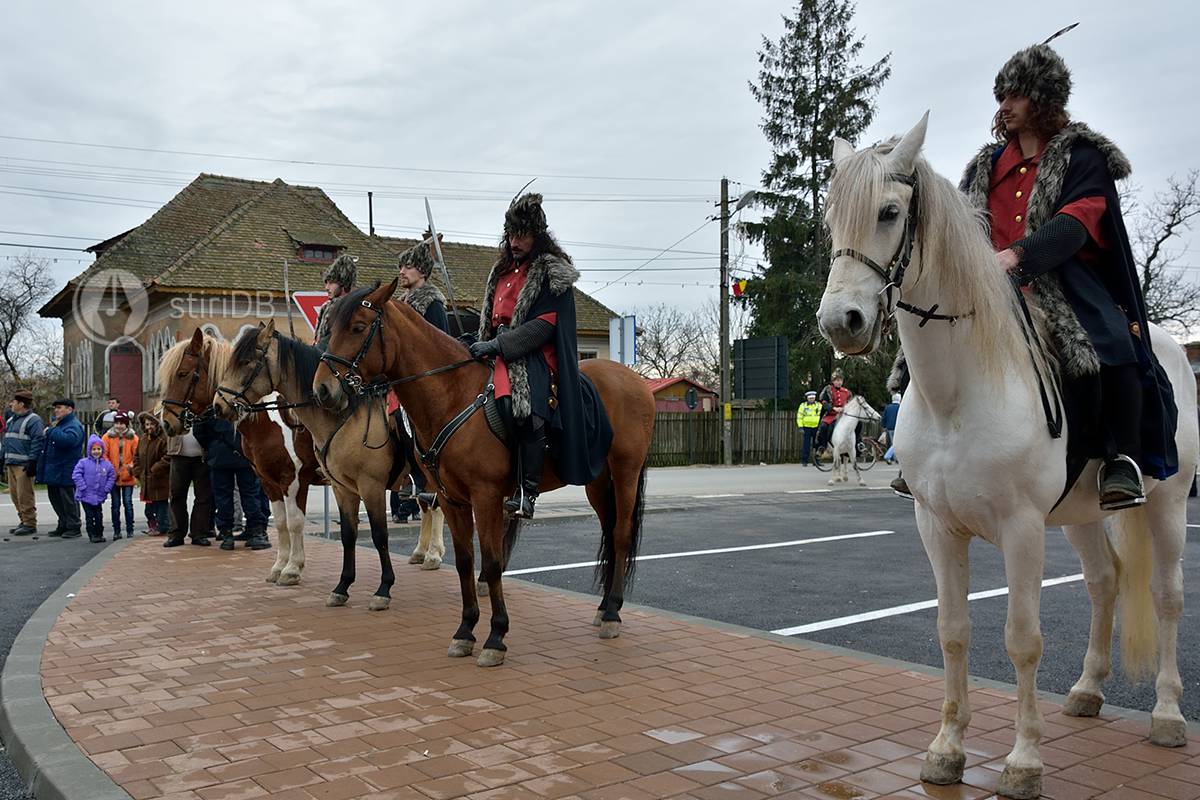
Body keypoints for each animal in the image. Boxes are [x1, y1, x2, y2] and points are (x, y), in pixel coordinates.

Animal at [157, 328, 321, 585]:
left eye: (182, 374)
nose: (166, 423)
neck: (270, 420)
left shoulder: (293, 481)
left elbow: (294, 522)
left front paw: (293, 569)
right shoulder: (269, 482)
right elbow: (281, 522)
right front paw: (279, 567)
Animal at [211, 319, 446, 614]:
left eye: (246, 362)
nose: (218, 405)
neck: (346, 416)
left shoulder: (356, 485)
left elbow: (376, 535)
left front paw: (381, 589)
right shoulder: (321, 486)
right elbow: (340, 533)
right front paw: (337, 586)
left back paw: (435, 556)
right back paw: (423, 553)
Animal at [314, 278, 652, 666]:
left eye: (357, 327)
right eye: (331, 328)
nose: (323, 389)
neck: (453, 395)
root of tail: (636, 381)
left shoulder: (485, 496)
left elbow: (490, 562)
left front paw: (496, 636)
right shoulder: (450, 499)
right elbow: (464, 561)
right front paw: (465, 631)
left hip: (625, 473)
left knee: (621, 535)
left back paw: (611, 613)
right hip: (596, 480)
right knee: (610, 532)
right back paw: (604, 607)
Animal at [820, 113, 1195, 800]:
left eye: (890, 211)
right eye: (833, 217)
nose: (842, 322)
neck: (958, 391)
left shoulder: (1022, 528)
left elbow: (1022, 639)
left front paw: (1023, 762)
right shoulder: (937, 528)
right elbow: (952, 632)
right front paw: (946, 750)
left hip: (1168, 504)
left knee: (1166, 596)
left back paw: (1167, 714)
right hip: (1080, 516)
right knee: (1105, 583)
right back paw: (1087, 690)